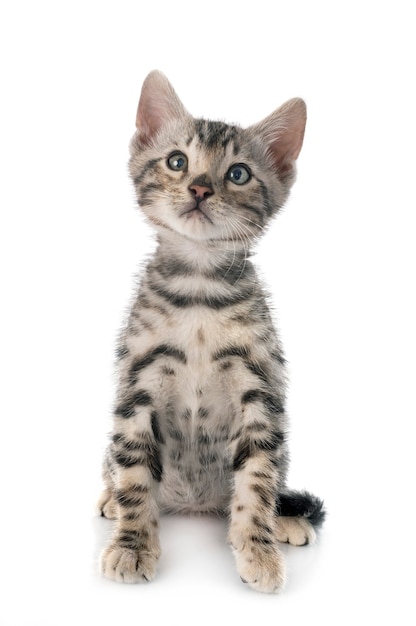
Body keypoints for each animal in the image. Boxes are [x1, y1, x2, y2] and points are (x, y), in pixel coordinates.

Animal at [97, 70, 324, 592]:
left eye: (238, 173)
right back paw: (109, 498)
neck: (199, 287)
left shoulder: (260, 391)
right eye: (177, 161)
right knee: (114, 467)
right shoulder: (136, 384)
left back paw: (285, 518)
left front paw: (257, 547)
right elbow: (134, 472)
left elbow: (257, 480)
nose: (200, 189)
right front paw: (132, 545)